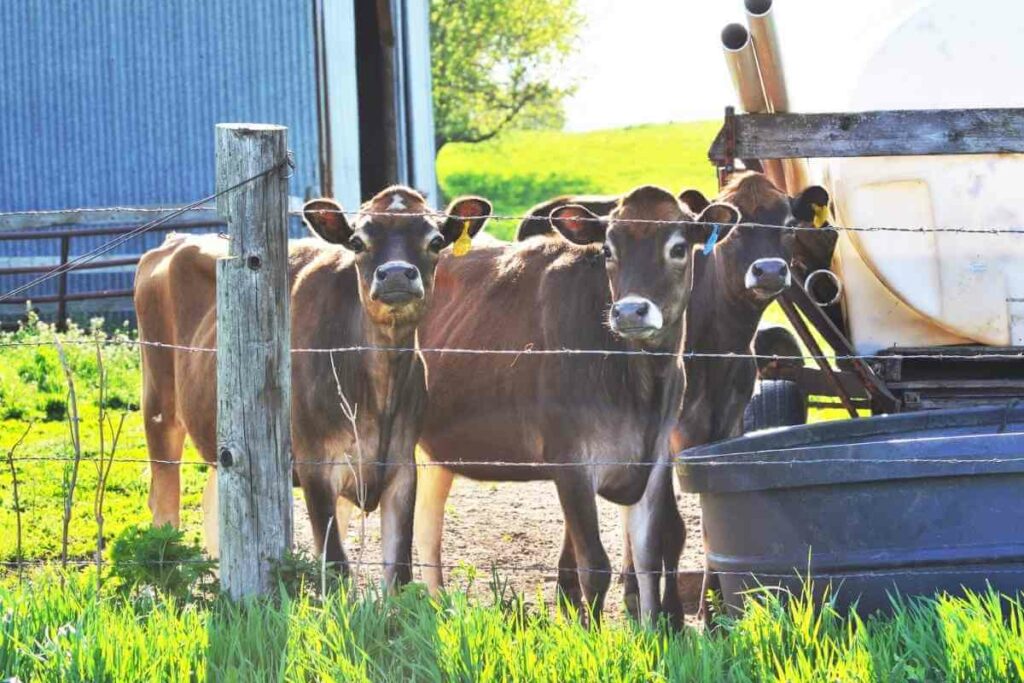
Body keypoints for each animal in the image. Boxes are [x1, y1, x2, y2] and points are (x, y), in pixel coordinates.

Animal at [134, 186, 492, 586]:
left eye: (435, 241)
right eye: (357, 241)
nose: (397, 273)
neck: (376, 390)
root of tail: (175, 240)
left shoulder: (401, 467)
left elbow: (398, 572)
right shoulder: (315, 466)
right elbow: (335, 564)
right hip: (159, 407)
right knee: (164, 504)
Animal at [404, 185, 739, 624]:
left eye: (679, 247)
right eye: (609, 249)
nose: (629, 310)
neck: (640, 385)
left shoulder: (652, 461)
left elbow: (649, 556)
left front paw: (655, 632)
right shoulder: (570, 462)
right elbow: (594, 566)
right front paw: (594, 636)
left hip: (433, 450)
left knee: (427, 526)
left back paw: (436, 606)